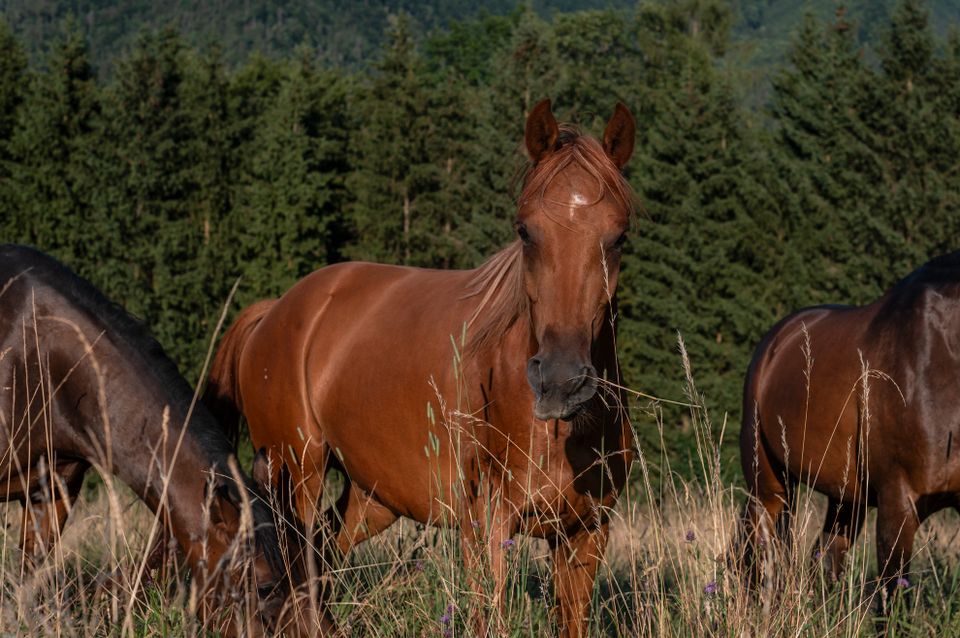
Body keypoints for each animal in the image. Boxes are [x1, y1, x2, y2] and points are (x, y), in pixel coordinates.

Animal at [203, 101, 636, 638]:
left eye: (619, 237)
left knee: (322, 553)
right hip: (296, 473)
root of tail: (276, 311)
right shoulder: (486, 526)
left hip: (371, 499)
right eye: (525, 231)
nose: (560, 382)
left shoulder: (585, 533)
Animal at [744, 251, 960, 600]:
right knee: (758, 554)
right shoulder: (897, 503)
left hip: (845, 498)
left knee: (823, 559)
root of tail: (776, 340)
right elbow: (891, 595)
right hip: (767, 485)